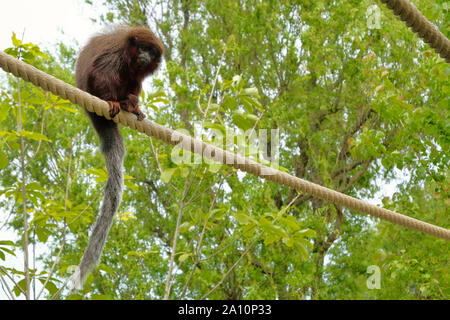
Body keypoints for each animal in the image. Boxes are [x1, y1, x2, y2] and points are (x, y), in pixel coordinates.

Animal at [69, 26, 163, 288]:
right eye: (143, 48)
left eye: (152, 52)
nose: (145, 56)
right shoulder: (117, 54)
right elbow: (102, 72)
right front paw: (112, 99)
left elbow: (136, 81)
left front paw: (134, 103)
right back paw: (116, 102)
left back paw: (129, 104)